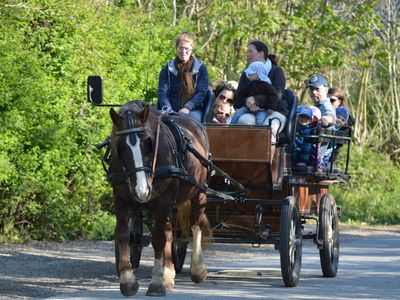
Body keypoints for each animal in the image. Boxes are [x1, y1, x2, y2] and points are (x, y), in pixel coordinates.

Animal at [108, 100, 211, 296]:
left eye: (148, 142)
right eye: (120, 146)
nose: (142, 191)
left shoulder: (162, 200)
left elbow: (157, 239)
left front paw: (156, 282)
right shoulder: (121, 199)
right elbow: (123, 235)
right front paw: (127, 280)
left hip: (198, 191)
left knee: (196, 224)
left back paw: (197, 269)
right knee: (170, 232)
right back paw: (169, 273)